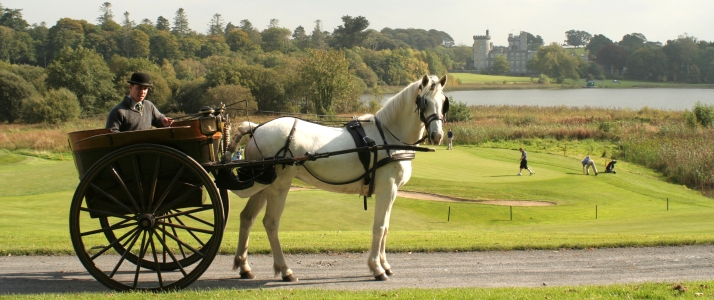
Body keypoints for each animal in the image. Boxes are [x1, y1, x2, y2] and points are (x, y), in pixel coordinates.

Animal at [224, 74, 444, 282]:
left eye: (443, 101)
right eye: (424, 101)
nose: (437, 135)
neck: (387, 138)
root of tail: (256, 128)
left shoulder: (392, 192)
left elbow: (386, 227)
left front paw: (385, 265)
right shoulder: (387, 189)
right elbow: (379, 227)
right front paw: (377, 268)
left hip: (263, 184)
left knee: (247, 218)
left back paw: (244, 266)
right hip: (278, 185)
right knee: (270, 222)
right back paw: (285, 270)